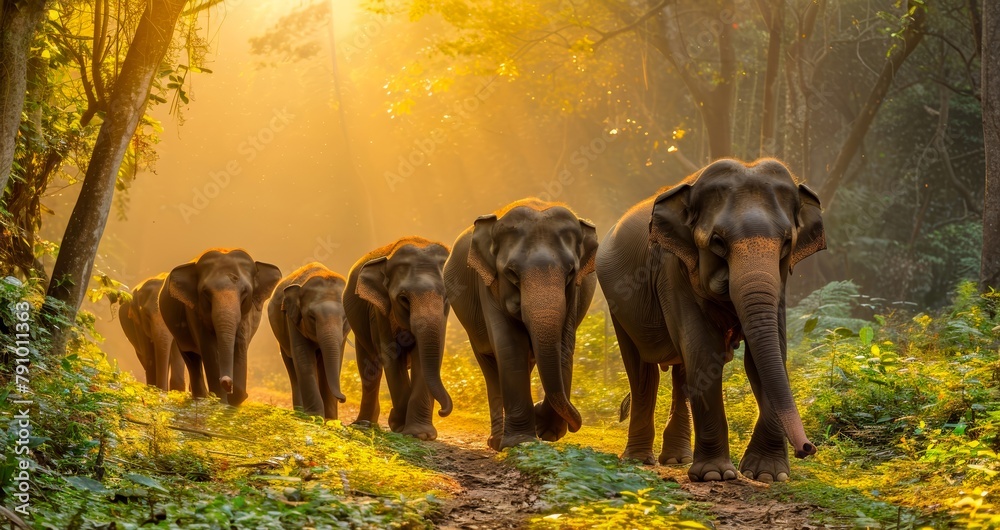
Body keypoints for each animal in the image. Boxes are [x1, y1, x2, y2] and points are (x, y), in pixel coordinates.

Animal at [158, 248, 282, 406]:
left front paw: (236, 398)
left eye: (245, 292)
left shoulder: (248, 314)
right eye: (206, 293)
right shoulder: (194, 312)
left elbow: (240, 344)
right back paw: (201, 397)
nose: (227, 381)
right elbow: (209, 349)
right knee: (191, 357)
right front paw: (222, 400)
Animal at [267, 263, 350, 419]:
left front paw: (331, 420)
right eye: (312, 317)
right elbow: (303, 356)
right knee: (292, 366)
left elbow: (332, 362)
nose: (343, 398)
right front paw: (315, 417)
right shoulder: (292, 318)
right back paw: (300, 412)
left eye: (344, 318)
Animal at [343, 236, 453, 440]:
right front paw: (399, 425)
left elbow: (424, 358)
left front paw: (421, 434)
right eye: (403, 299)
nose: (443, 412)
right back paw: (364, 424)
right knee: (369, 370)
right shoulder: (380, 312)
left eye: (446, 296)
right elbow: (392, 357)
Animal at [444, 198, 599, 450]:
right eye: (511, 273)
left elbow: (564, 347)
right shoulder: (489, 285)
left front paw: (545, 431)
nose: (576, 425)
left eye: (570, 272)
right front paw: (520, 441)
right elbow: (510, 347)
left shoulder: (574, 293)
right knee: (490, 368)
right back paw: (496, 441)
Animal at [595, 158, 825, 483]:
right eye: (717, 242)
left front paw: (767, 475)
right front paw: (715, 475)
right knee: (642, 372)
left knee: (680, 371)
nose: (808, 448)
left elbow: (766, 355)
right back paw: (639, 459)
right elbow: (704, 351)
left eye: (787, 243)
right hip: (617, 306)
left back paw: (676, 459)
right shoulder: (672, 268)